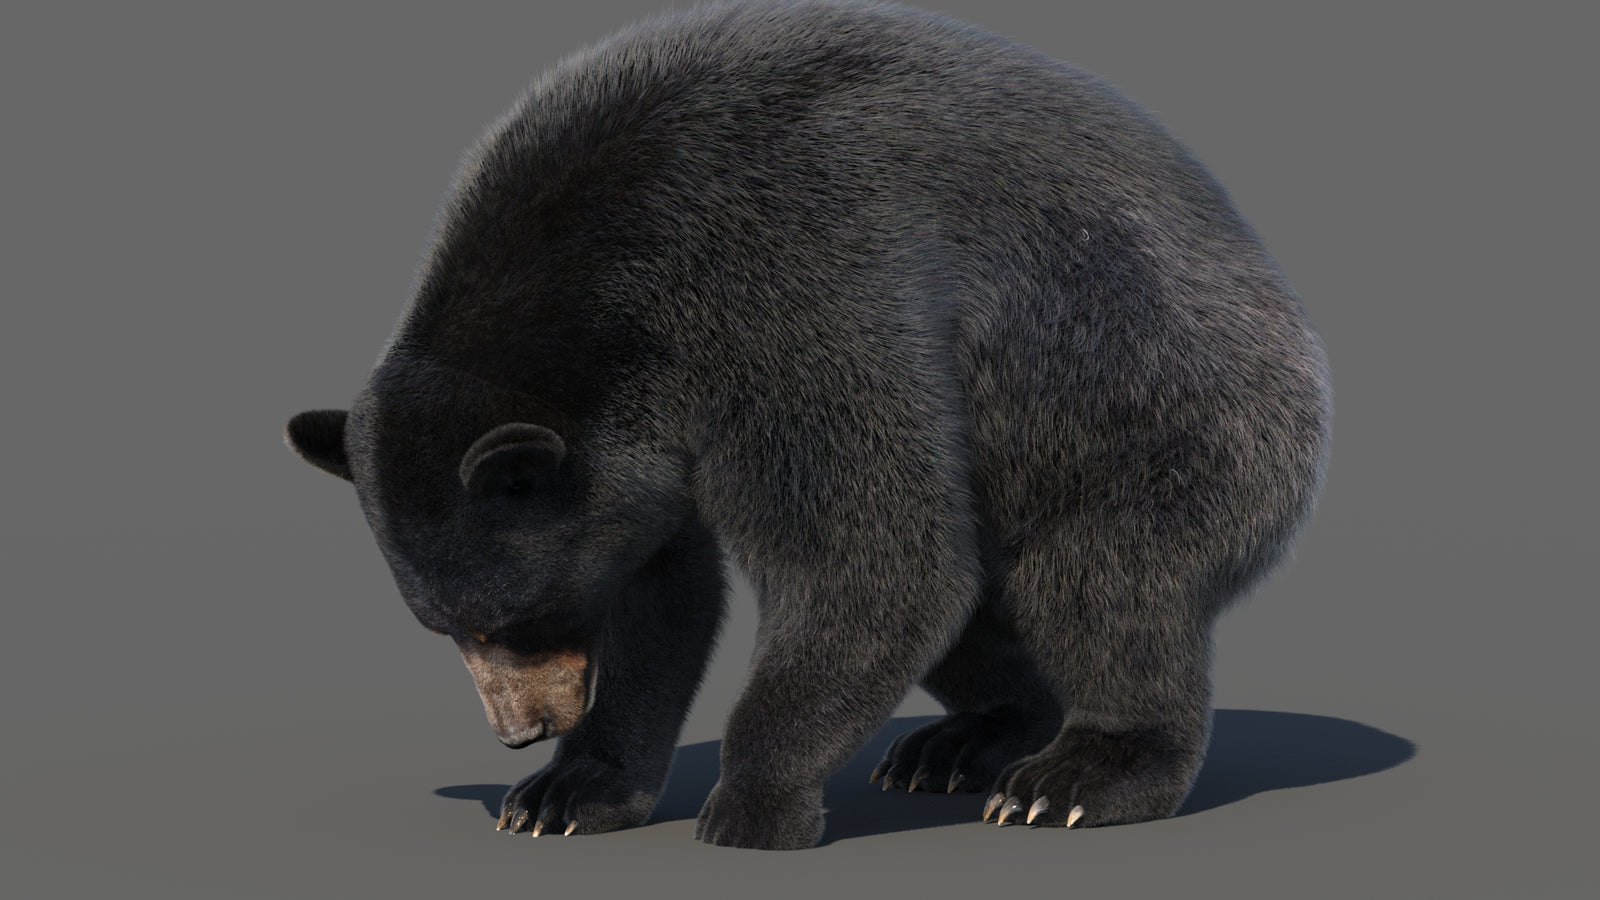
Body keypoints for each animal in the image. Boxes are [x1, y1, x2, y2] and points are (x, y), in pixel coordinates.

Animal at [286, 0, 1331, 850]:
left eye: (510, 618)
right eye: (441, 625)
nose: (521, 730)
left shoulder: (791, 287)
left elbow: (870, 554)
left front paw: (751, 806)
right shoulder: (639, 437)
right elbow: (661, 588)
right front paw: (566, 792)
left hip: (1161, 405)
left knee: (1102, 580)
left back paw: (1076, 776)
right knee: (982, 608)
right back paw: (965, 741)